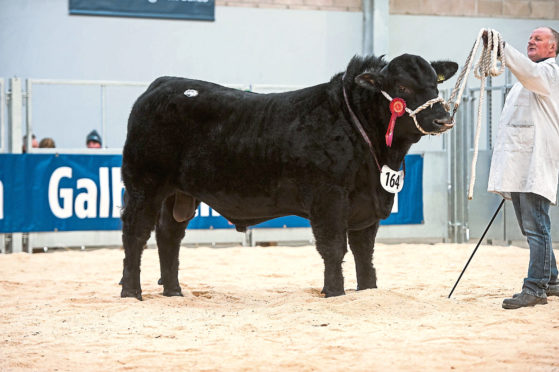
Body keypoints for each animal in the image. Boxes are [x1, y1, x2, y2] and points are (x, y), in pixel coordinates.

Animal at [120, 53, 458, 300]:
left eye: (434, 84)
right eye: (402, 88)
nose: (444, 118)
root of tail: (163, 84)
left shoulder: (368, 205)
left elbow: (364, 253)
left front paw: (367, 291)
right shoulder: (329, 197)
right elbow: (333, 247)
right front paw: (334, 292)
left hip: (178, 193)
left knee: (168, 236)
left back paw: (174, 292)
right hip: (143, 184)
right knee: (135, 235)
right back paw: (132, 292)